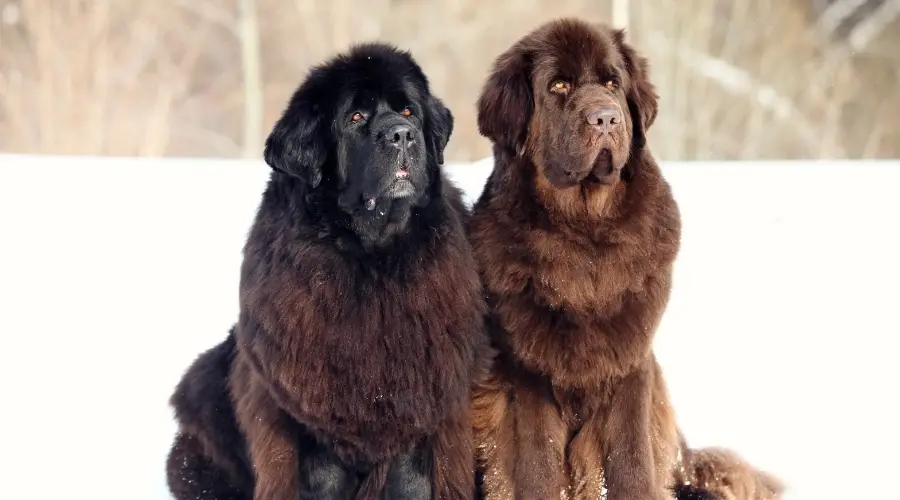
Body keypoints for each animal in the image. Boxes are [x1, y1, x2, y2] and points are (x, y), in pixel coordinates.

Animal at [168, 43, 492, 500]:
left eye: (408, 112)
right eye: (355, 117)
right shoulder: (307, 409)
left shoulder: (420, 399)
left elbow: (410, 477)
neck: (370, 261)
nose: (401, 135)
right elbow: (322, 476)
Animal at [468, 19, 784, 500]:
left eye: (612, 83)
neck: (586, 234)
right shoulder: (526, 376)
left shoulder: (631, 365)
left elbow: (629, 458)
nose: (605, 118)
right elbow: (538, 462)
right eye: (558, 86)